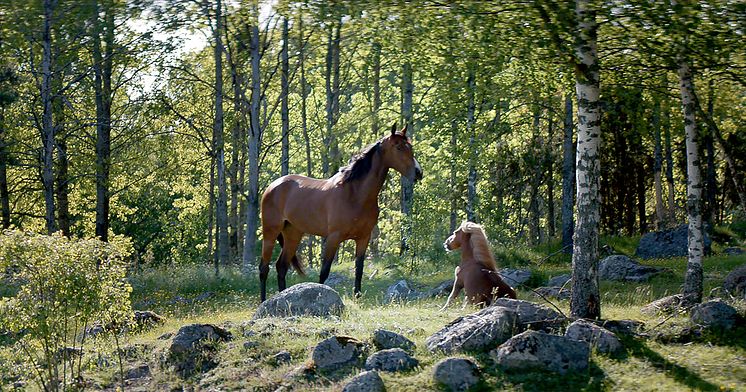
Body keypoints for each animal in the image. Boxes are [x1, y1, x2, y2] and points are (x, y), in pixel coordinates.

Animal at [258, 124, 422, 302]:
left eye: (410, 147)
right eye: (398, 147)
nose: (418, 173)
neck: (355, 194)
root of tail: (274, 185)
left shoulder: (363, 238)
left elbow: (359, 270)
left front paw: (357, 297)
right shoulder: (333, 238)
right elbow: (324, 272)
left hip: (293, 233)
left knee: (281, 267)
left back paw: (282, 297)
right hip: (270, 232)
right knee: (264, 268)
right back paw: (264, 301)